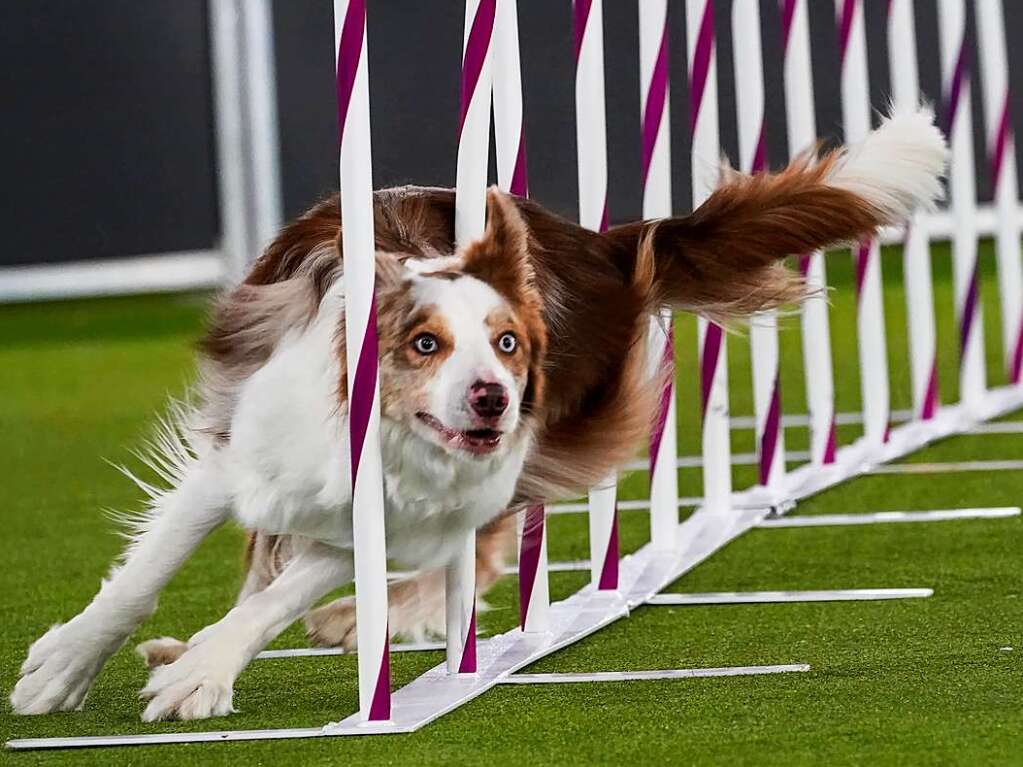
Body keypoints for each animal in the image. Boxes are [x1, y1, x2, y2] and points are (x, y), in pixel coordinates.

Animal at [12, 106, 945, 719]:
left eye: (508, 344)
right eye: (423, 344)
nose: (491, 399)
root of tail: (598, 245)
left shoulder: (392, 512)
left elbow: (280, 593)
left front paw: (203, 672)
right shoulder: (242, 453)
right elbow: (148, 574)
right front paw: (68, 666)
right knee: (266, 550)